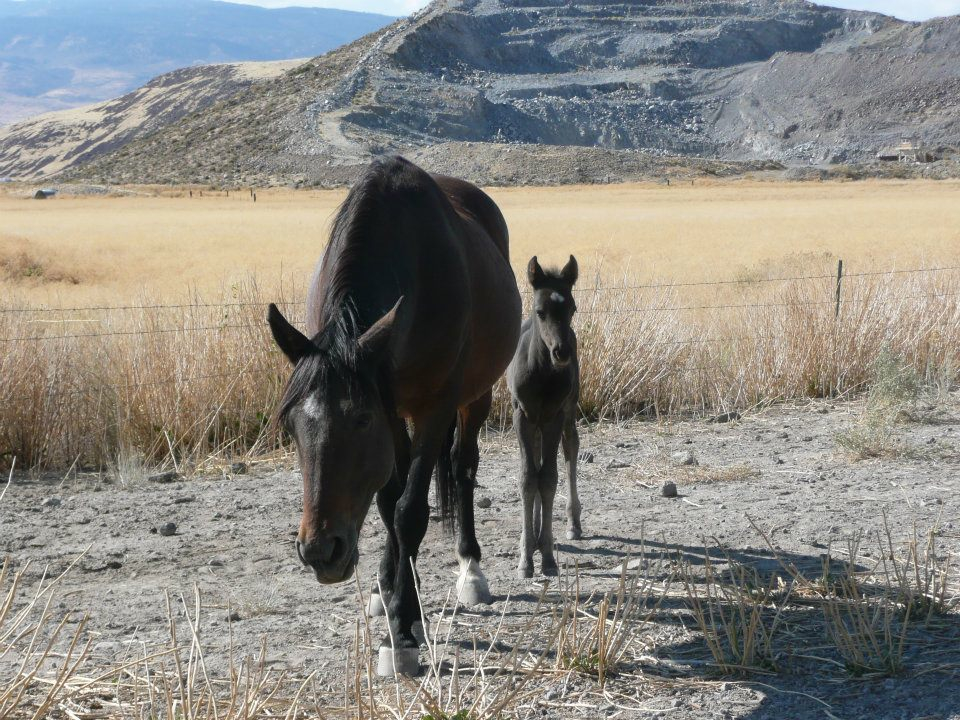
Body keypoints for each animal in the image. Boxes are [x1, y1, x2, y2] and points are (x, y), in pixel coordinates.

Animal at [266, 156, 521, 676]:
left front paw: (402, 632)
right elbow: (388, 503)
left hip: (475, 396)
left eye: (360, 420)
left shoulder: (430, 408)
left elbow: (410, 511)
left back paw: (469, 568)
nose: (321, 551)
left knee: (463, 468)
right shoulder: (392, 406)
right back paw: (387, 585)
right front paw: (397, 597)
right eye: (292, 426)